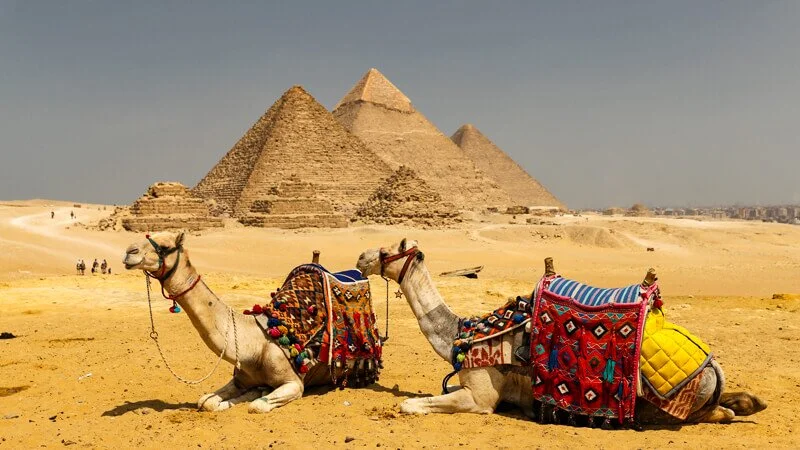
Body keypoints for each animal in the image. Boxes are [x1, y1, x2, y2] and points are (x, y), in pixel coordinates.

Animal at [123, 231, 332, 413]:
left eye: (165, 246)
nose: (129, 251)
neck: (257, 344)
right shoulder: (241, 378)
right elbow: (206, 402)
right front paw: (246, 394)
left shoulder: (294, 383)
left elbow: (256, 406)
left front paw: (257, 394)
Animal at [356, 239, 767, 426]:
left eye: (388, 250)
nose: (361, 258)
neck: (463, 332)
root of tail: (711, 366)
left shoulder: (482, 397)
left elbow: (409, 404)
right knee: (728, 402)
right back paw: (751, 402)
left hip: (665, 406)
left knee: (711, 415)